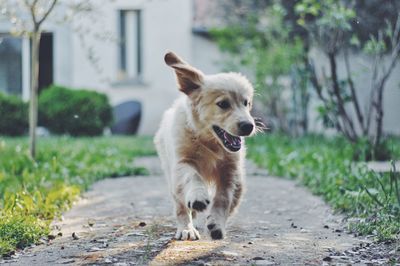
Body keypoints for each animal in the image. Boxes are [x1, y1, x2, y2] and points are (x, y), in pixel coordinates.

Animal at [153, 51, 256, 240]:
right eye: (223, 104)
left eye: (246, 103)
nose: (248, 126)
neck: (208, 141)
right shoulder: (182, 162)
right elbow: (192, 176)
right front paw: (198, 197)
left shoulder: (231, 171)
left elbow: (224, 198)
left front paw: (217, 223)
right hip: (171, 175)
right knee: (180, 207)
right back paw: (186, 228)